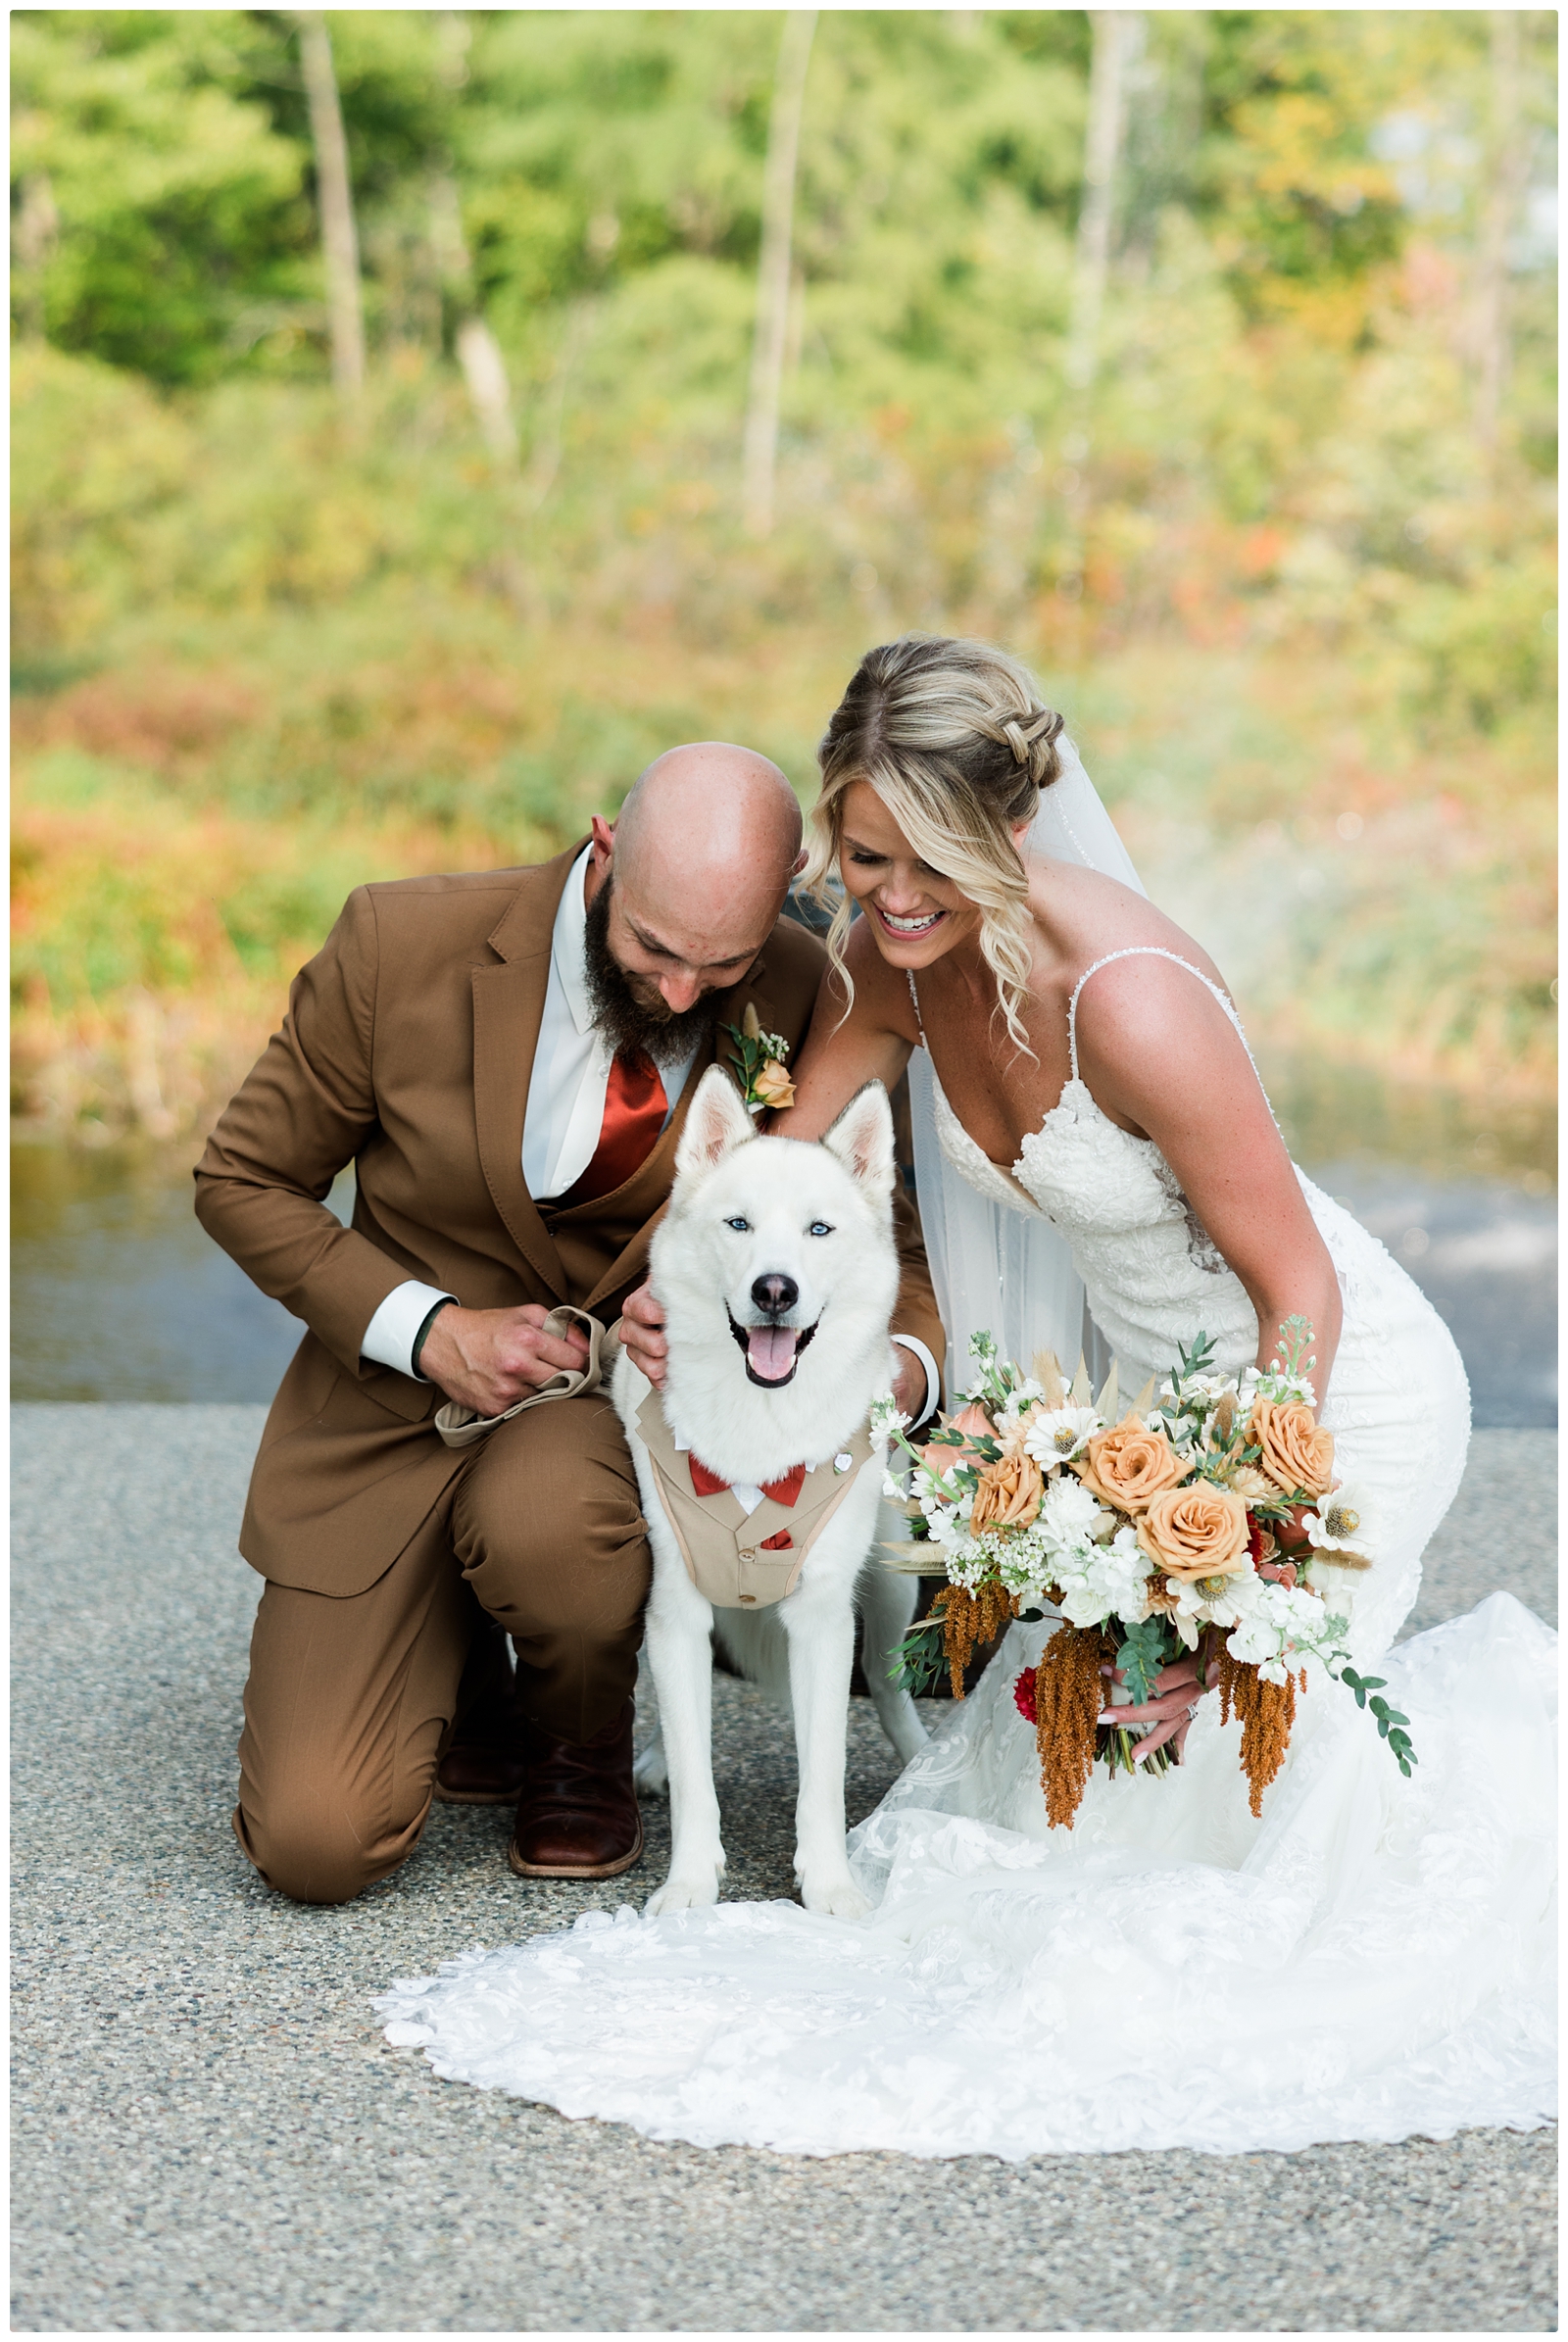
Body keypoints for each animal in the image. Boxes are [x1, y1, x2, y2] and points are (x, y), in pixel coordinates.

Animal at [609, 1063, 923, 1920]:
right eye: (739, 1225)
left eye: (819, 1230)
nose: (774, 1290)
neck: (759, 1421)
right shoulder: (675, 1609)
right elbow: (695, 1770)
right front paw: (689, 1884)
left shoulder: (822, 1620)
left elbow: (823, 1777)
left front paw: (831, 1885)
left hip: (891, 1589)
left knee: (890, 1693)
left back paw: (926, 1765)